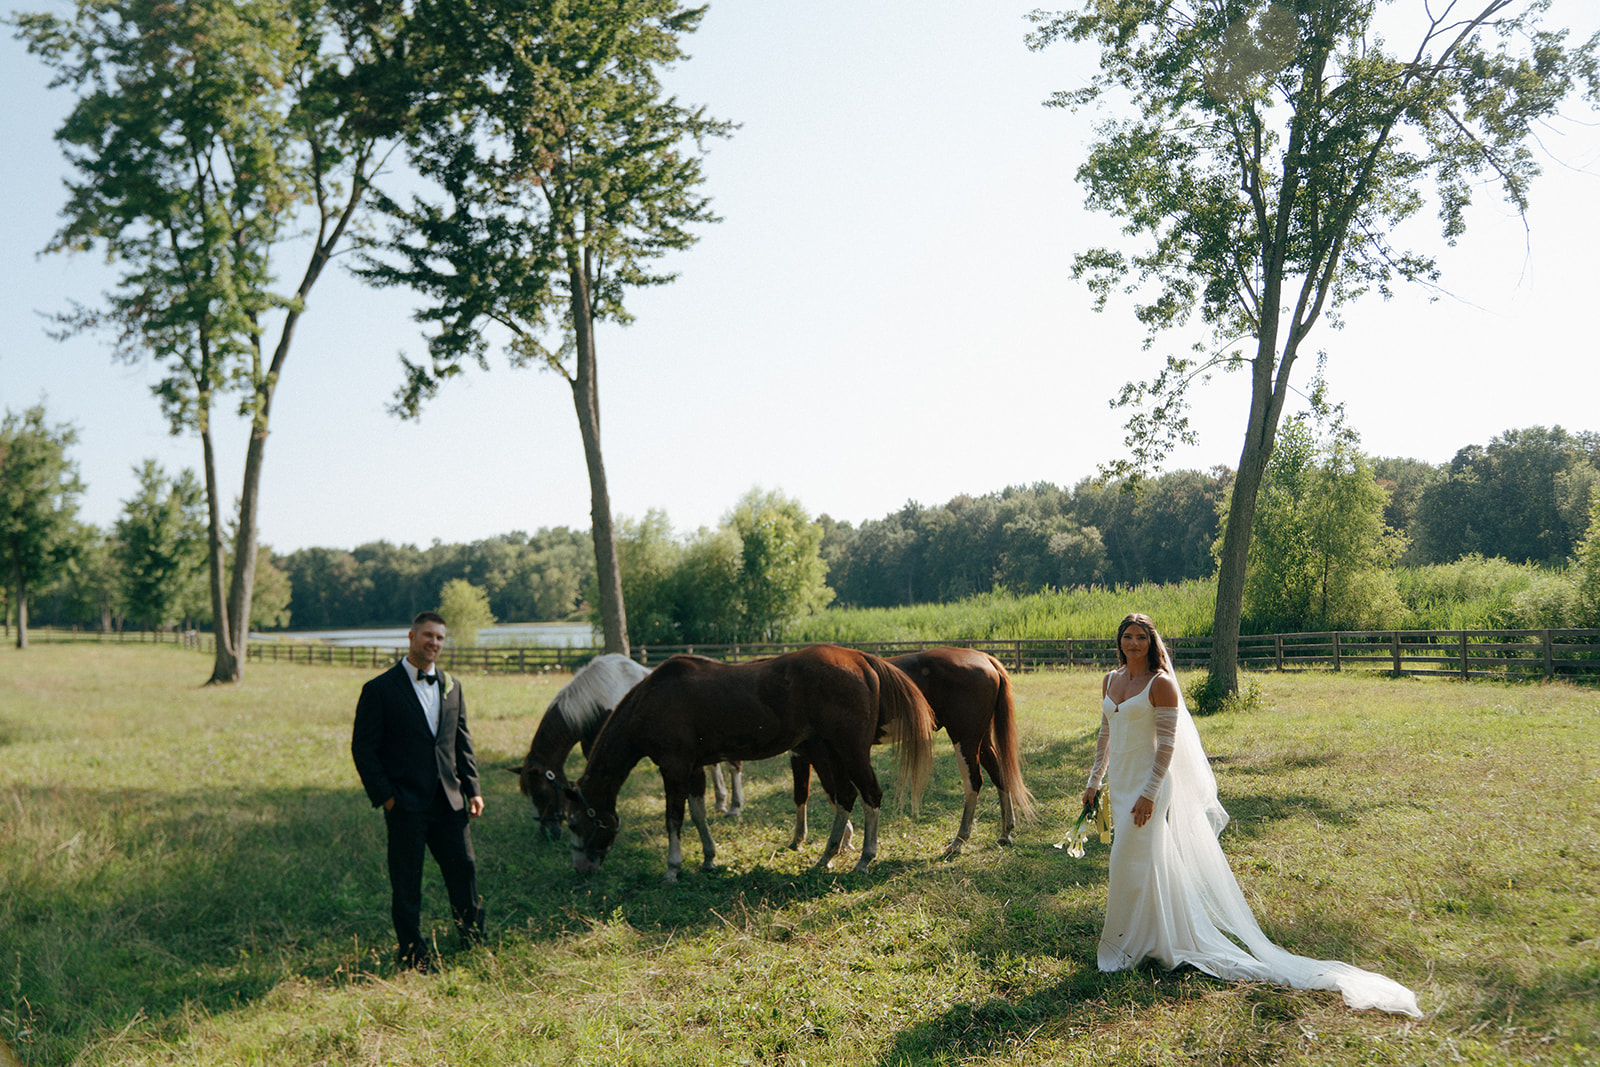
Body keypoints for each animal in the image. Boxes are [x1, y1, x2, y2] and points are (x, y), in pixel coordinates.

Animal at [515, 652, 745, 844]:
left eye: (541, 793)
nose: (546, 833)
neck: (597, 697)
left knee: (734, 766)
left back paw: (734, 807)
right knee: (715, 766)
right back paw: (720, 802)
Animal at [566, 643, 934, 883]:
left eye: (573, 823)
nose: (582, 868)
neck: (653, 699)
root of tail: (859, 658)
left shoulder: (673, 768)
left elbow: (673, 819)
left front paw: (673, 867)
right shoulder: (694, 768)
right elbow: (698, 813)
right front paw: (708, 858)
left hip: (850, 752)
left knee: (871, 795)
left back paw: (864, 859)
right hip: (832, 752)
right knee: (845, 796)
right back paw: (826, 856)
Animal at [787, 643, 1036, 857]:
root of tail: (985, 658)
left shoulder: (820, 754)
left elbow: (827, 793)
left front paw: (837, 840)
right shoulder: (805, 755)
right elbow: (802, 793)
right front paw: (804, 839)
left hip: (964, 739)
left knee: (974, 782)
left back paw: (959, 841)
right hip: (980, 740)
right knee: (999, 774)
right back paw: (1005, 831)